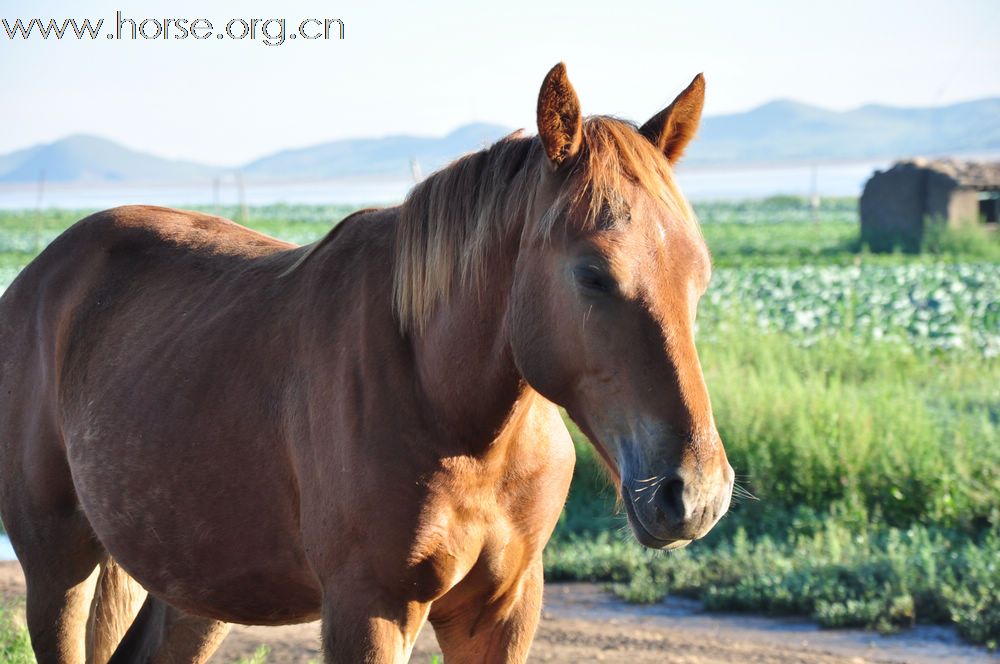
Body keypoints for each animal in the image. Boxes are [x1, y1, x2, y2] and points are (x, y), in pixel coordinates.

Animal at [0, 63, 736, 664]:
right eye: (592, 274)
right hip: (59, 567)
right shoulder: (370, 611)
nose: (695, 493)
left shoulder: (500, 614)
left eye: (700, 274)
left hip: (193, 588)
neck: (445, 406)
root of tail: (37, 277)